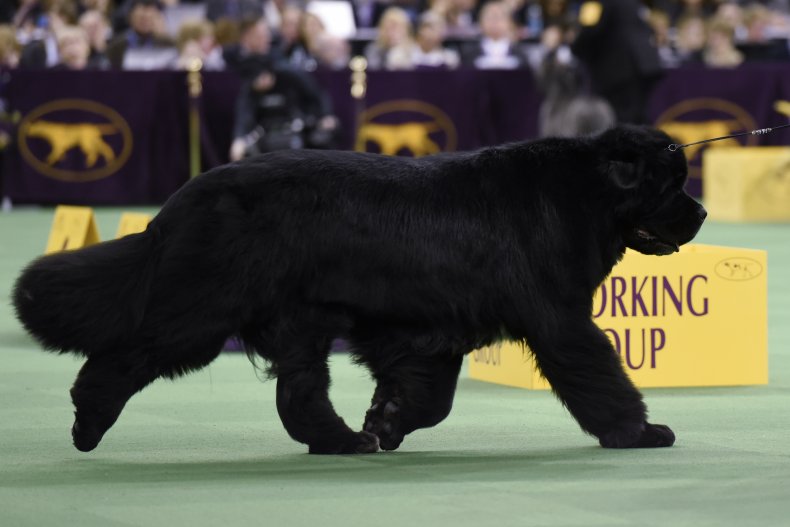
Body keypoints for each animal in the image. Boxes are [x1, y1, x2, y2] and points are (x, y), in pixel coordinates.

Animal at [10, 126, 704, 456]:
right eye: (670, 184)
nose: (699, 214)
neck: (584, 193)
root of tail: (176, 204)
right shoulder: (559, 318)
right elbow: (598, 376)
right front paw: (638, 432)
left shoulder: (428, 333)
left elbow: (429, 397)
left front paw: (386, 421)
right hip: (203, 310)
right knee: (126, 355)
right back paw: (87, 423)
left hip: (297, 322)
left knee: (298, 394)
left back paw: (344, 440)